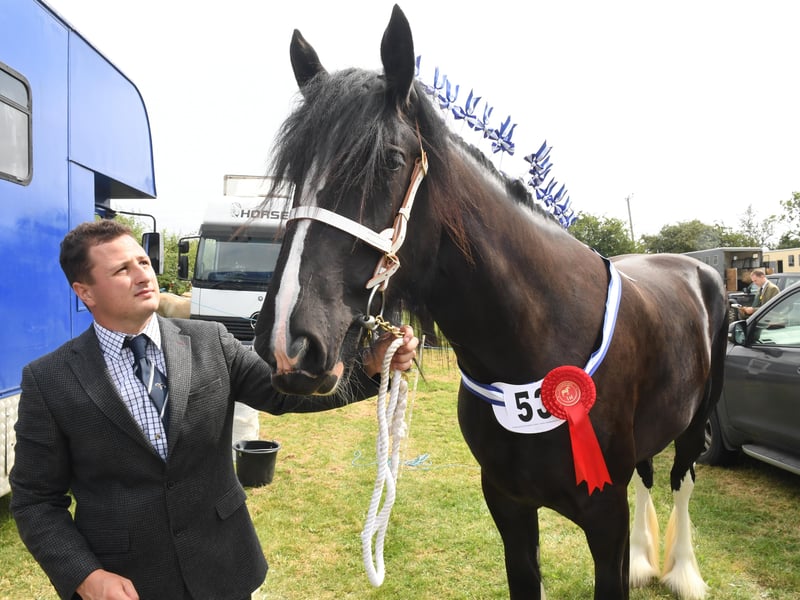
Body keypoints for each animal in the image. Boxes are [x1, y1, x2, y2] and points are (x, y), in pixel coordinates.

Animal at [253, 6, 728, 599]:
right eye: (295, 174)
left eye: (389, 161)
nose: (286, 341)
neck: (537, 339)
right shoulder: (508, 505)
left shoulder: (606, 520)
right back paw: (648, 562)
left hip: (693, 424)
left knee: (681, 480)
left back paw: (683, 572)